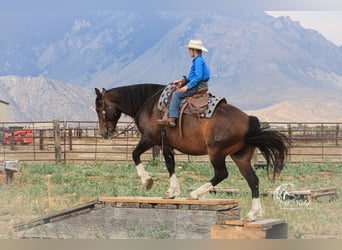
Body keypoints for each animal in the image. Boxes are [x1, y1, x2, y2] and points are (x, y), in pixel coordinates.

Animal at [94, 83, 288, 221]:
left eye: (98, 109)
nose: (104, 133)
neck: (148, 104)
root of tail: (249, 120)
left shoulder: (149, 138)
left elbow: (135, 155)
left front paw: (148, 182)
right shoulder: (165, 144)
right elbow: (170, 164)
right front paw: (172, 191)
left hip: (216, 152)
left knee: (221, 173)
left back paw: (195, 194)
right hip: (240, 156)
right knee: (253, 180)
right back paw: (252, 214)